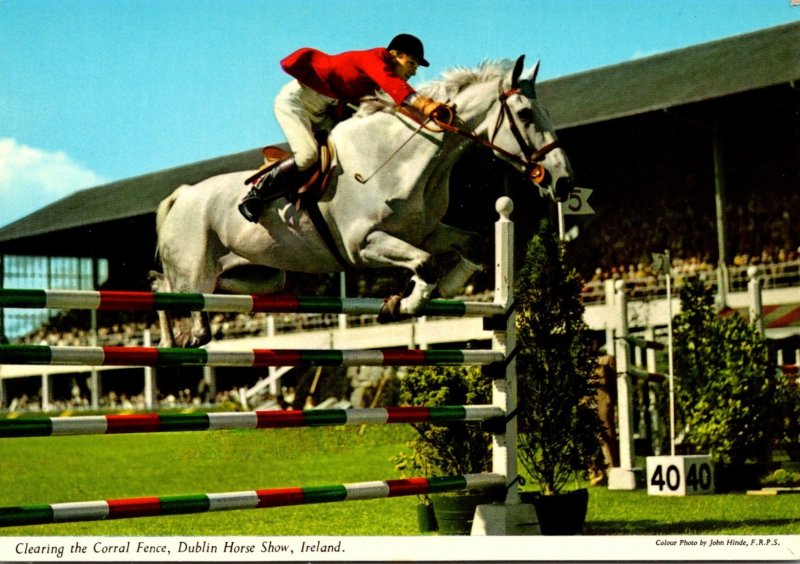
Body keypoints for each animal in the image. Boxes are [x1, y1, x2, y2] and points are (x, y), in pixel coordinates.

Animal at [153, 57, 572, 348]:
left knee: (190, 292)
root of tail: (182, 194)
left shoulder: (425, 231)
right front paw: (409, 303)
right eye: (524, 114)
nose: (563, 181)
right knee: (171, 295)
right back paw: (176, 339)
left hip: (258, 277)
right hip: (194, 270)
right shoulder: (363, 245)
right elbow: (424, 262)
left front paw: (447, 288)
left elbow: (472, 241)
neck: (404, 159)